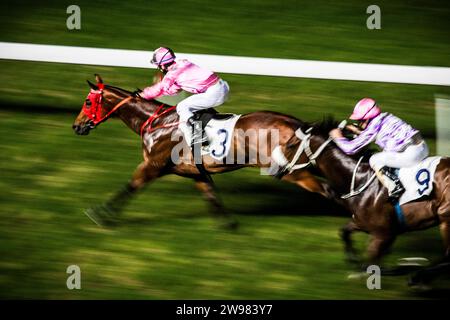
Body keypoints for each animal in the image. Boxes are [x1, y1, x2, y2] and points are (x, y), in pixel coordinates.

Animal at [72, 75, 332, 229]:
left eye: (87, 102)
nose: (76, 126)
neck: (157, 123)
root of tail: (296, 123)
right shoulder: (196, 172)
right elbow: (211, 197)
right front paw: (228, 224)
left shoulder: (152, 165)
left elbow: (129, 187)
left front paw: (100, 214)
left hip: (289, 170)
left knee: (327, 189)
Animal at [280, 119, 448, 286]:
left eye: (291, 145)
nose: (279, 169)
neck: (360, 178)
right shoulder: (364, 223)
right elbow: (344, 232)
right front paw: (354, 261)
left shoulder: (383, 234)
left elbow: (371, 263)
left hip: (445, 219)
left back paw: (418, 277)